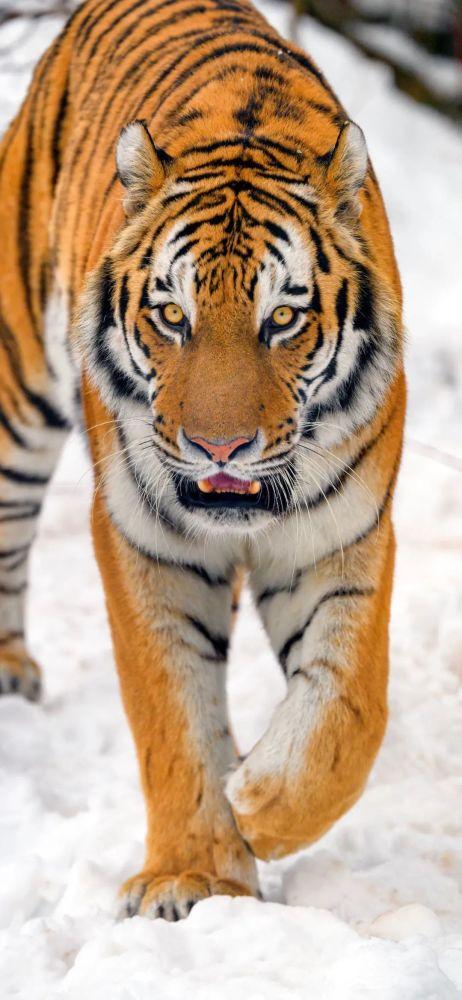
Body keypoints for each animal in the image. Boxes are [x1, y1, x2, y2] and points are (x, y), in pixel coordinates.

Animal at [0, 0, 405, 921]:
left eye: (283, 319)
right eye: (172, 316)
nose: (219, 447)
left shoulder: (344, 538)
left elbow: (348, 707)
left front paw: (263, 802)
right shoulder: (147, 541)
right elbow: (172, 713)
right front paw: (193, 875)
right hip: (16, 383)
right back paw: (8, 673)